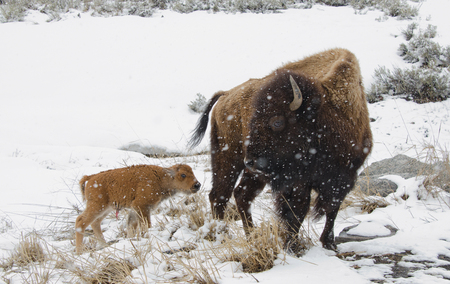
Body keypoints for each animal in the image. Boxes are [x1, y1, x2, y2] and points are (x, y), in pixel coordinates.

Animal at [190, 48, 372, 251]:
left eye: (277, 122)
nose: (250, 161)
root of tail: (225, 94)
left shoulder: (343, 177)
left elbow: (332, 208)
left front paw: (329, 243)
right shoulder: (298, 182)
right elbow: (297, 210)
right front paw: (292, 244)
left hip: (252, 173)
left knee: (240, 195)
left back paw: (251, 236)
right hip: (228, 158)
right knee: (220, 195)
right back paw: (221, 235)